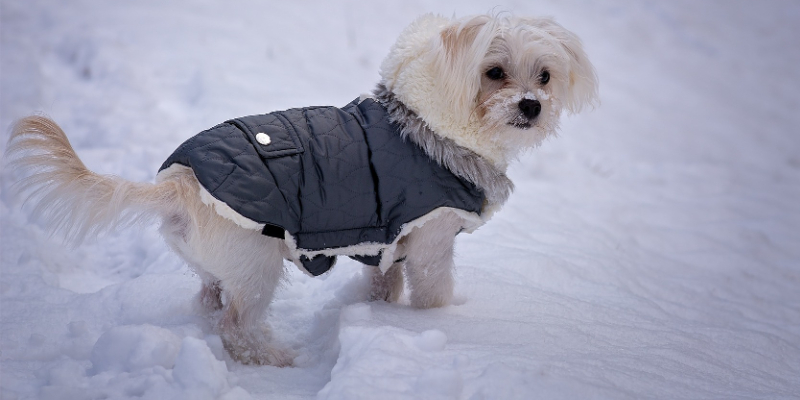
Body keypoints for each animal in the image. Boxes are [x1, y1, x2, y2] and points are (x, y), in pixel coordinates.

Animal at [4, 13, 592, 366]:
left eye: (544, 76)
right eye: (494, 72)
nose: (532, 106)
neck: (425, 127)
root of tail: (180, 184)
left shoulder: (388, 246)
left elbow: (383, 286)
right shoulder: (431, 241)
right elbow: (433, 292)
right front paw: (444, 323)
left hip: (219, 266)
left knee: (208, 299)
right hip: (257, 264)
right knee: (235, 325)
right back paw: (272, 360)